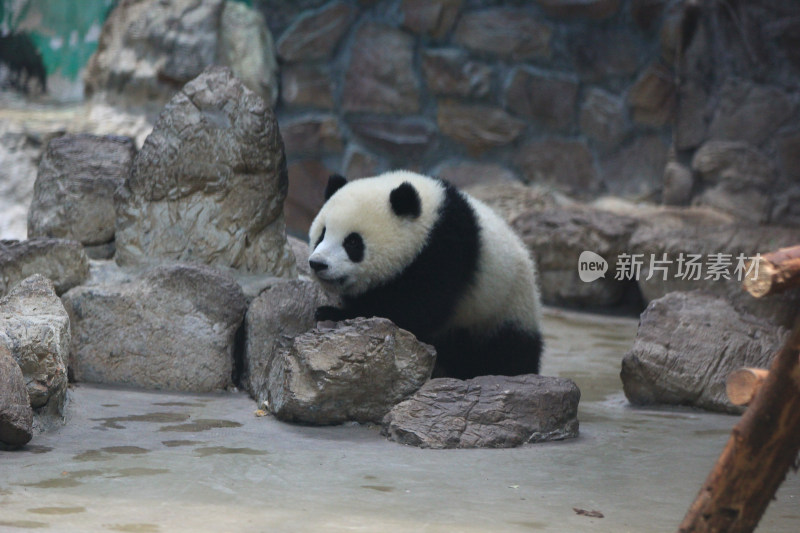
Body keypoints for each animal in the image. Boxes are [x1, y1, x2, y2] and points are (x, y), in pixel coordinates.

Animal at [308, 170, 544, 378]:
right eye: (322, 234)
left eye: (353, 242)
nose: (318, 264)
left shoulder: (446, 250)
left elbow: (415, 310)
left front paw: (335, 313)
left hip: (502, 310)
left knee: (506, 353)